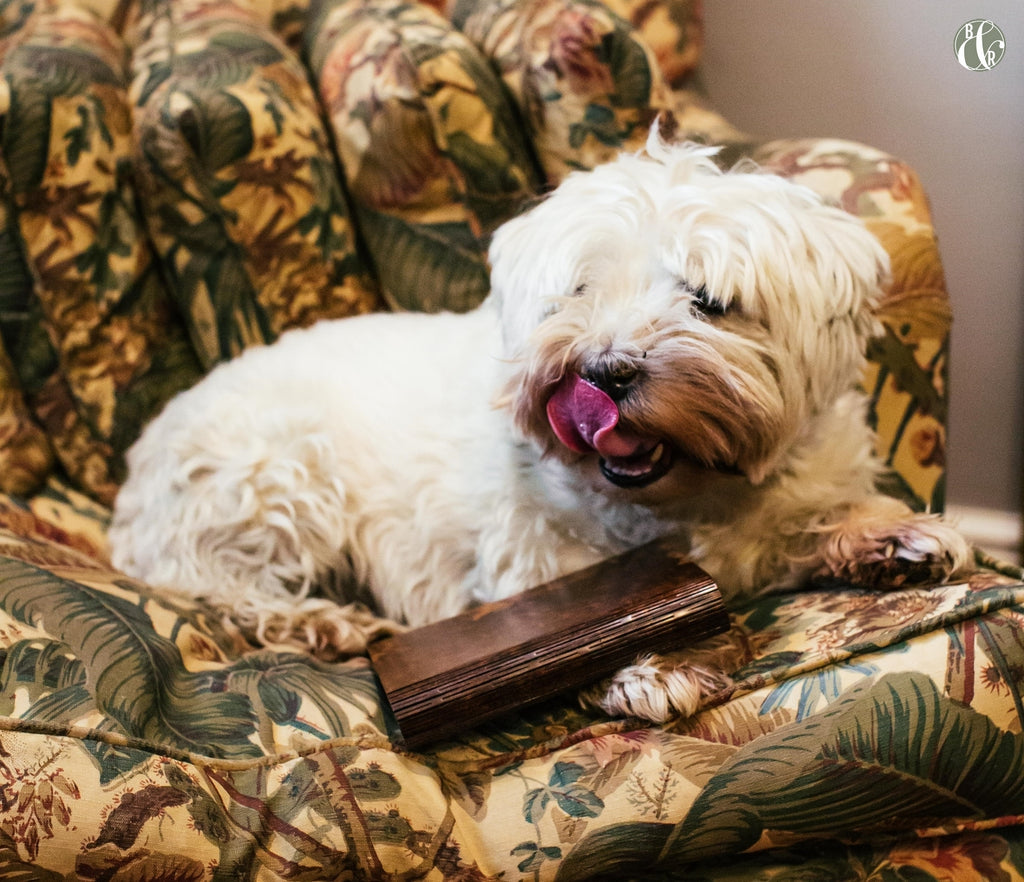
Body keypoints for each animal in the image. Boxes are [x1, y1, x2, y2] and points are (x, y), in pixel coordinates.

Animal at [108, 132, 970, 721]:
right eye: (580, 290)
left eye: (708, 300)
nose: (605, 371)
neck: (688, 493)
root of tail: (135, 469)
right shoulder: (526, 555)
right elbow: (571, 615)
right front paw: (648, 667)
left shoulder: (788, 494)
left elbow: (814, 516)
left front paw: (894, 537)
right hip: (277, 480)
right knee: (212, 580)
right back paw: (322, 621)